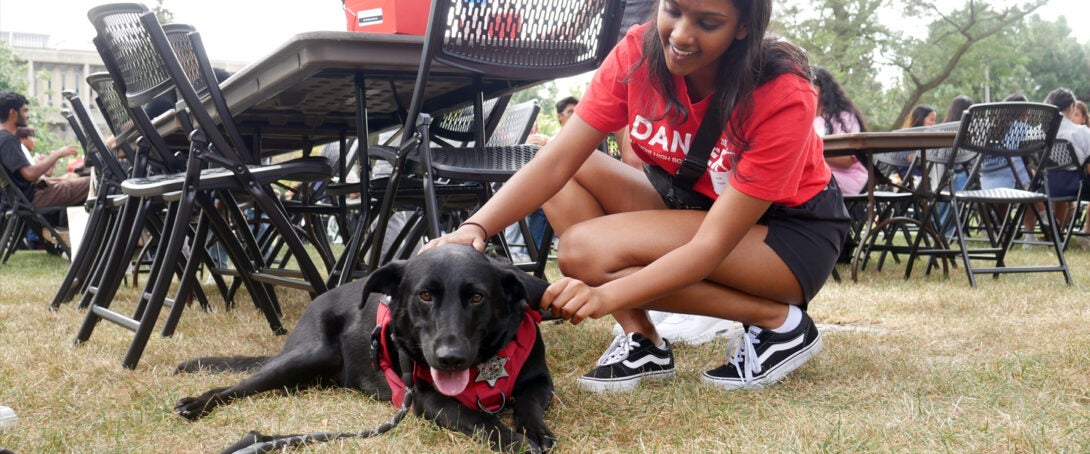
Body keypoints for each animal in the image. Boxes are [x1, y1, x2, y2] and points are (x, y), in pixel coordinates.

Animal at [176, 246, 562, 450]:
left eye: (477, 297)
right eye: (425, 295)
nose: (449, 359)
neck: (485, 365)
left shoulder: (539, 381)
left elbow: (528, 404)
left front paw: (535, 431)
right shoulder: (427, 398)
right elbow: (478, 418)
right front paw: (516, 441)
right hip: (310, 354)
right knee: (236, 386)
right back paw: (196, 403)